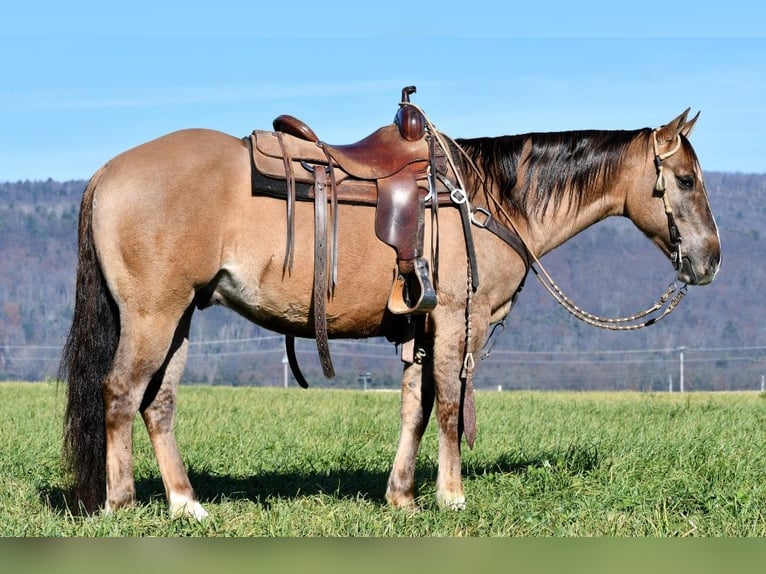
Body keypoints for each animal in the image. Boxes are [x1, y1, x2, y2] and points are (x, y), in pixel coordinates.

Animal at [58, 97, 720, 520]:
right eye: (686, 180)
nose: (709, 259)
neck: (486, 200)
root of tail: (106, 173)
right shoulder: (455, 318)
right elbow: (449, 405)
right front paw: (452, 496)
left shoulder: (418, 330)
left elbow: (414, 410)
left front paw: (402, 495)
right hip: (153, 316)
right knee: (120, 393)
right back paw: (120, 503)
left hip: (181, 317)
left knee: (159, 403)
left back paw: (186, 504)